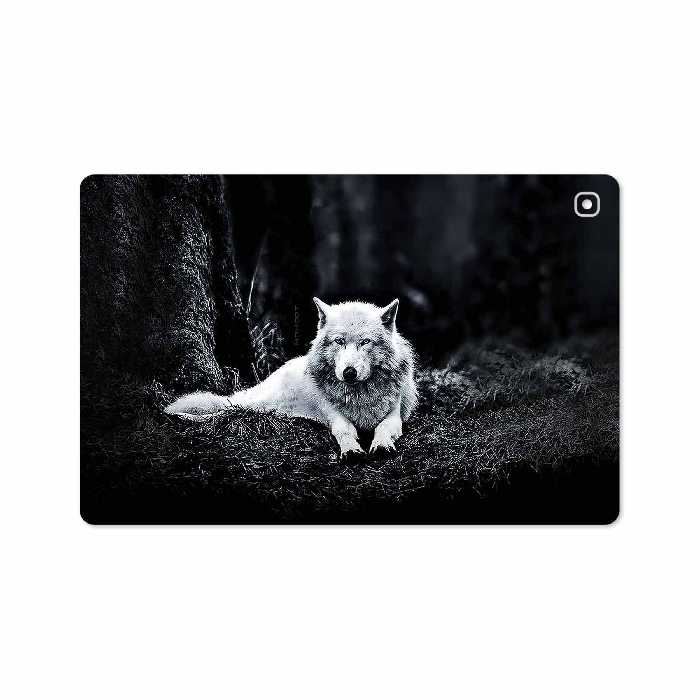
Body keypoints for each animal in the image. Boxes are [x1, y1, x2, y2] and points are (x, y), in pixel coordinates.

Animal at [165, 298, 417, 458]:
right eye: (339, 341)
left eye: (365, 342)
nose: (349, 372)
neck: (359, 396)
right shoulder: (334, 417)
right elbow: (345, 430)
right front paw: (351, 450)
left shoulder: (394, 417)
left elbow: (383, 428)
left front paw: (382, 444)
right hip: (258, 404)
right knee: (228, 410)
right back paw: (183, 416)